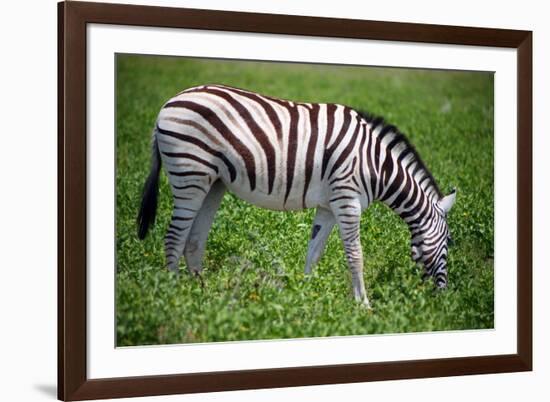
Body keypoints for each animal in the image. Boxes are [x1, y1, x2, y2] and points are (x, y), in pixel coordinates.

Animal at [138, 83, 458, 306]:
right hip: (190, 174)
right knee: (174, 237)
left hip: (213, 183)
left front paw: (304, 296)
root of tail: (168, 103)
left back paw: (202, 295)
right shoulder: (347, 200)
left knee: (193, 241)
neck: (377, 165)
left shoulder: (329, 206)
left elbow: (313, 252)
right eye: (450, 242)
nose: (443, 296)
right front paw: (364, 306)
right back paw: (176, 295)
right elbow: (356, 254)